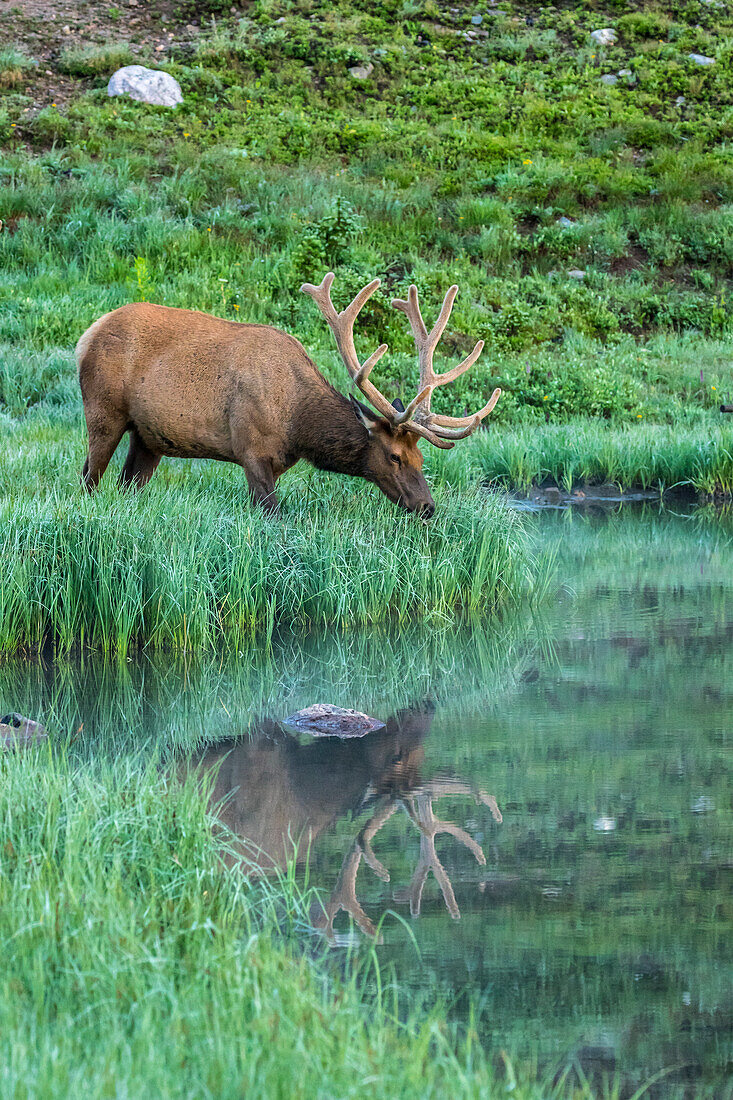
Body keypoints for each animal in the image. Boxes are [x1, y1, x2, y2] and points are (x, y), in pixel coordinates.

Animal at [75, 275, 497, 514]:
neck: (298, 427)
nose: (427, 506)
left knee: (126, 483)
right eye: (394, 456)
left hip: (149, 436)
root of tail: (86, 336)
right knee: (88, 480)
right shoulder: (251, 450)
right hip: (103, 411)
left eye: (421, 457)